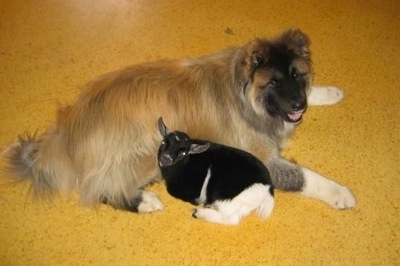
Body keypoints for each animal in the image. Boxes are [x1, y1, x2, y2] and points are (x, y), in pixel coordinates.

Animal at [4, 28, 356, 212]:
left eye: (297, 75)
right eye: (273, 82)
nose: (298, 105)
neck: (243, 93)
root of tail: (66, 133)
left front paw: (330, 93)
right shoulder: (263, 159)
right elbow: (306, 177)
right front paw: (340, 193)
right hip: (150, 147)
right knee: (100, 189)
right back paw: (145, 200)